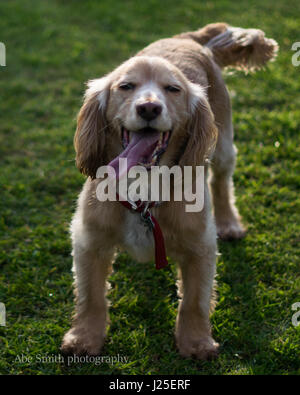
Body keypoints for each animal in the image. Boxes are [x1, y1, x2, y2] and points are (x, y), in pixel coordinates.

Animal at [61, 23, 278, 360]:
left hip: (222, 145)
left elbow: (194, 301)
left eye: (173, 89)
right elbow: (91, 297)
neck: (143, 189)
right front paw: (84, 338)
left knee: (221, 183)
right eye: (126, 86)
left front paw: (196, 342)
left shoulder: (200, 247)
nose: (149, 107)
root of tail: (189, 38)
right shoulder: (89, 241)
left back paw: (229, 223)